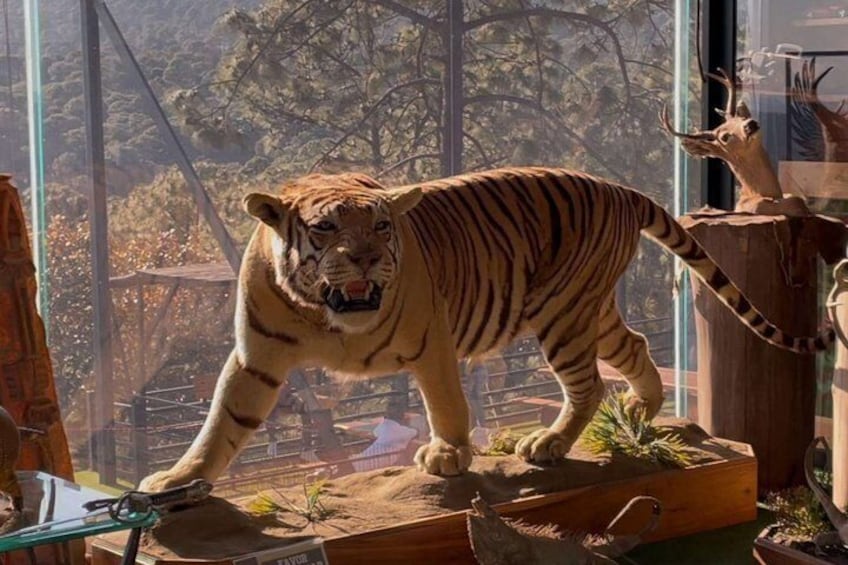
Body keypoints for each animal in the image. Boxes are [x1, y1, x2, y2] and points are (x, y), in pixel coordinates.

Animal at [139, 166, 833, 490]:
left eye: (382, 226)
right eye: (327, 228)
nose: (364, 258)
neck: (328, 314)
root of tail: (617, 187)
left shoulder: (430, 342)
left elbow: (447, 403)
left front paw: (447, 456)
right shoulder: (255, 357)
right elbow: (222, 423)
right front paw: (178, 481)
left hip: (562, 315)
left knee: (586, 386)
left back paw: (549, 443)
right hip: (590, 312)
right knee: (634, 348)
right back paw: (640, 412)